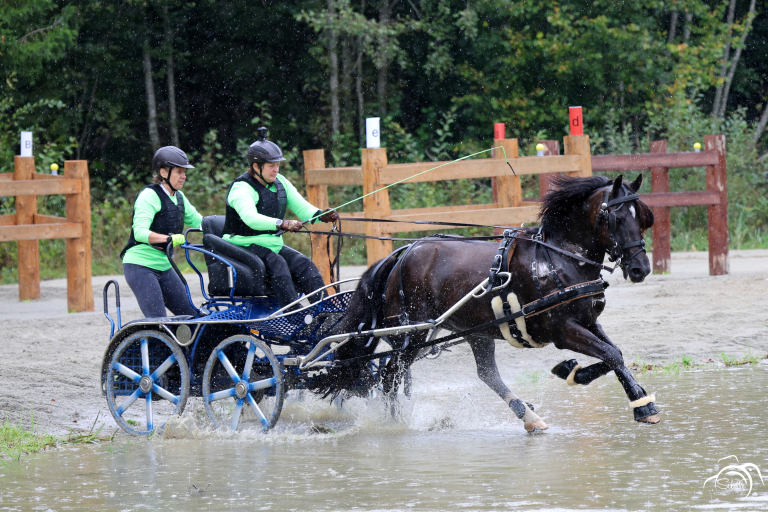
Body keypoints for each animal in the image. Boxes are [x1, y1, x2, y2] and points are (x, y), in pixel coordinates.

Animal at [312, 174, 660, 430]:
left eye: (642, 218)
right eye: (616, 218)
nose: (641, 268)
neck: (558, 259)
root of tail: (401, 254)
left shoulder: (588, 321)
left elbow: (615, 354)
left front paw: (579, 374)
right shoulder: (563, 329)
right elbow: (610, 354)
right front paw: (639, 405)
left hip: (473, 332)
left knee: (485, 374)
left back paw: (529, 417)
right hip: (412, 335)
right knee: (389, 376)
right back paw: (395, 423)